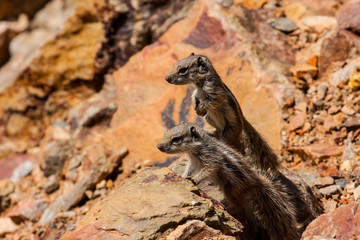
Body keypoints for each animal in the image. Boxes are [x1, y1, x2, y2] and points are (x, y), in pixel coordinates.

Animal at [158, 123, 300, 239]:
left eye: (176, 139)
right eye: (165, 134)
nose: (159, 146)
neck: (195, 150)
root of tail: (256, 182)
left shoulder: (212, 159)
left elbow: (208, 170)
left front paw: (194, 178)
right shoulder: (193, 163)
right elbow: (188, 169)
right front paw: (182, 176)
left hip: (231, 189)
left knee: (239, 204)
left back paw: (227, 208)